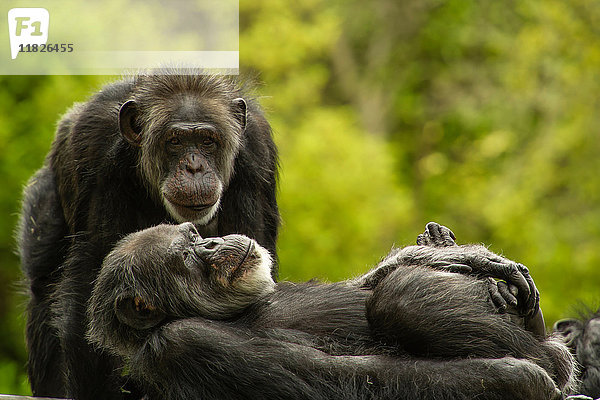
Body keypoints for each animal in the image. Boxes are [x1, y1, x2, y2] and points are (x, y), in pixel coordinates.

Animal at [85, 222, 576, 400]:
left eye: (193, 234)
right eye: (186, 256)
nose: (211, 241)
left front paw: (455, 254)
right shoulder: (181, 344)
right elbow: (336, 378)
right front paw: (519, 381)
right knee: (398, 300)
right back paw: (547, 360)